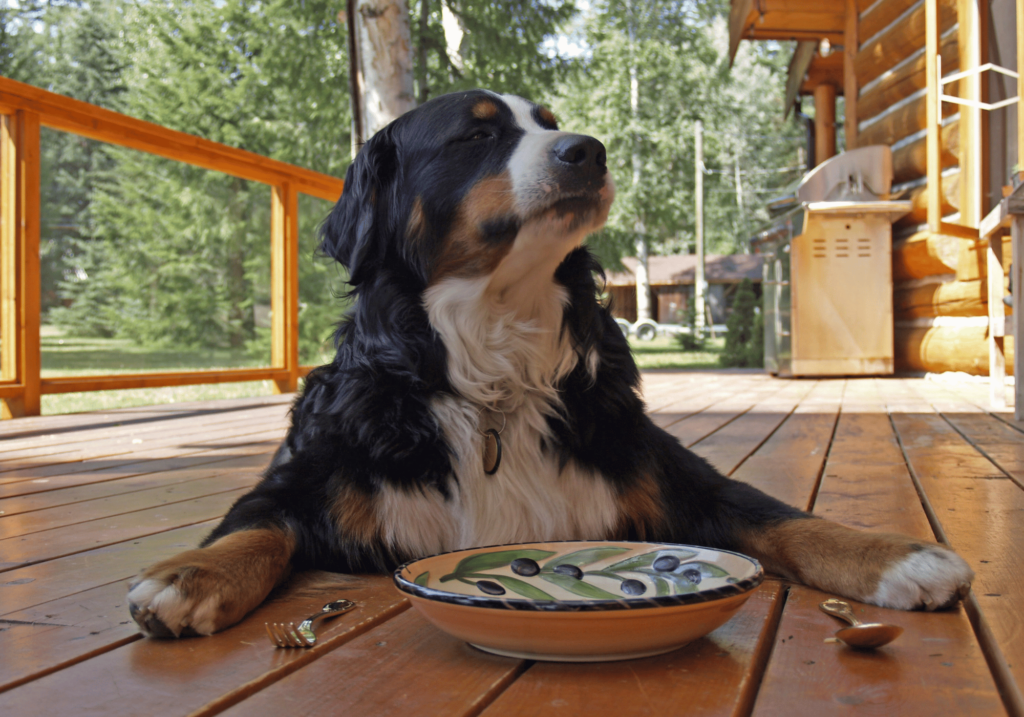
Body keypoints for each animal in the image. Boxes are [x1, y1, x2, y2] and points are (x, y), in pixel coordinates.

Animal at [128, 91, 974, 639]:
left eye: (553, 125)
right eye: (475, 137)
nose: (589, 151)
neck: (494, 368)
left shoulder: (667, 470)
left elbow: (781, 517)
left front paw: (894, 556)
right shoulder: (308, 474)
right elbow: (256, 527)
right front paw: (188, 574)